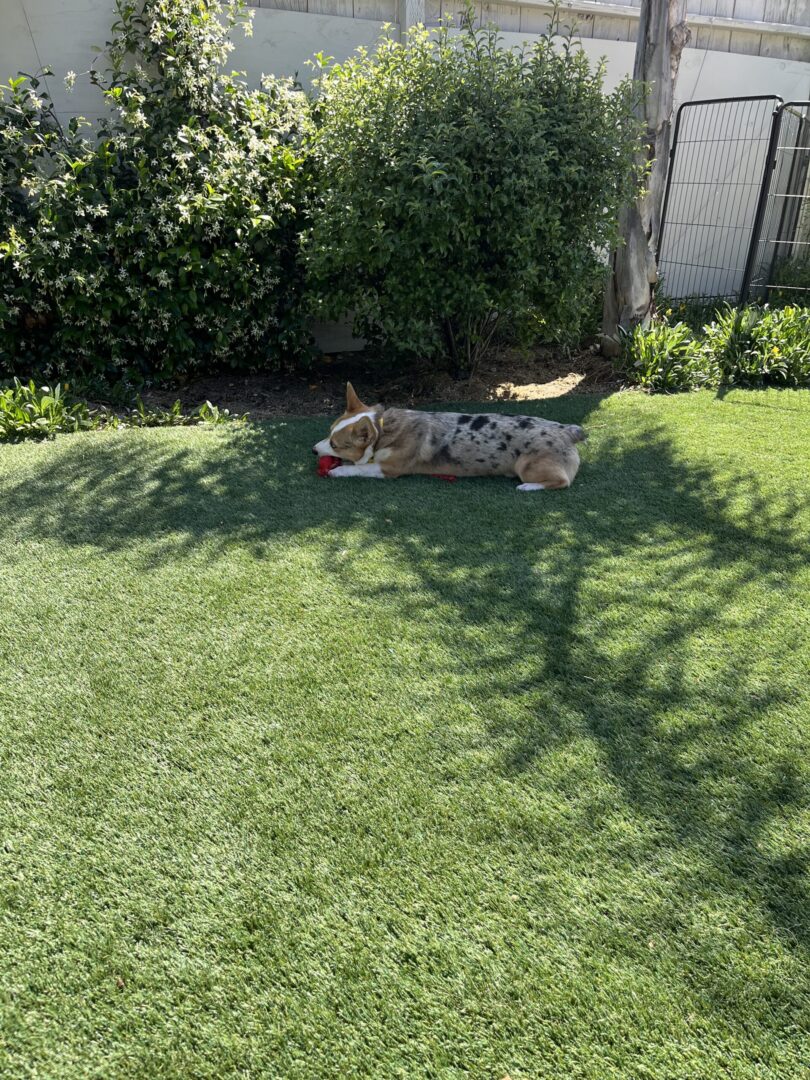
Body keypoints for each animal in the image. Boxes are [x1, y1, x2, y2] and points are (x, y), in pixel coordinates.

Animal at [313, 384, 587, 494]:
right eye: (328, 432)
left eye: (336, 444)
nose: (314, 450)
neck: (383, 431)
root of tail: (567, 430)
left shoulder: (389, 469)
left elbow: (358, 469)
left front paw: (338, 471)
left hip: (527, 467)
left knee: (561, 481)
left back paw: (528, 487)